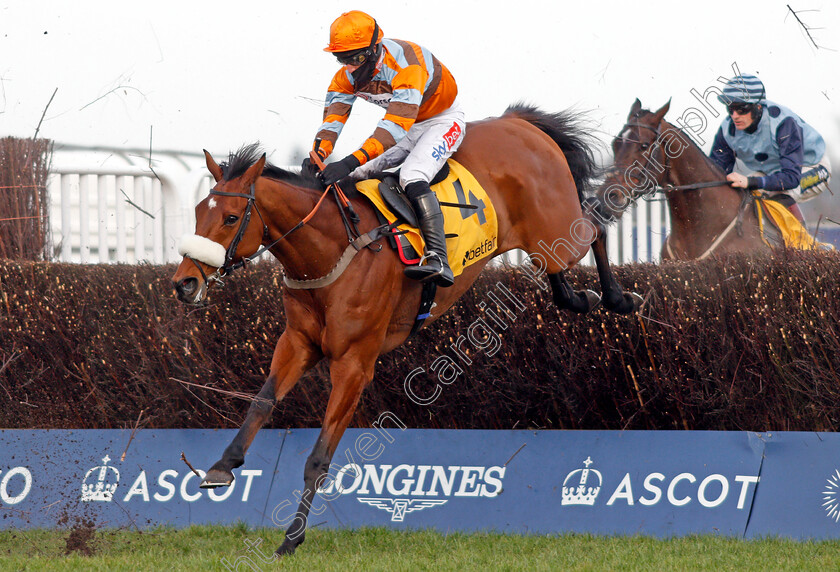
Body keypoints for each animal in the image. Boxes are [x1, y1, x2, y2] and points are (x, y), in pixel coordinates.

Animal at [174, 103, 640, 556]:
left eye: (231, 217)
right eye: (197, 212)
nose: (184, 283)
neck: (333, 249)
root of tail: (518, 123)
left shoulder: (354, 364)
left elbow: (319, 457)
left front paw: (291, 538)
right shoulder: (298, 343)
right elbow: (261, 403)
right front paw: (222, 467)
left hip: (557, 225)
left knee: (596, 227)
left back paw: (620, 299)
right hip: (544, 241)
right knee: (558, 268)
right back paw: (581, 298)